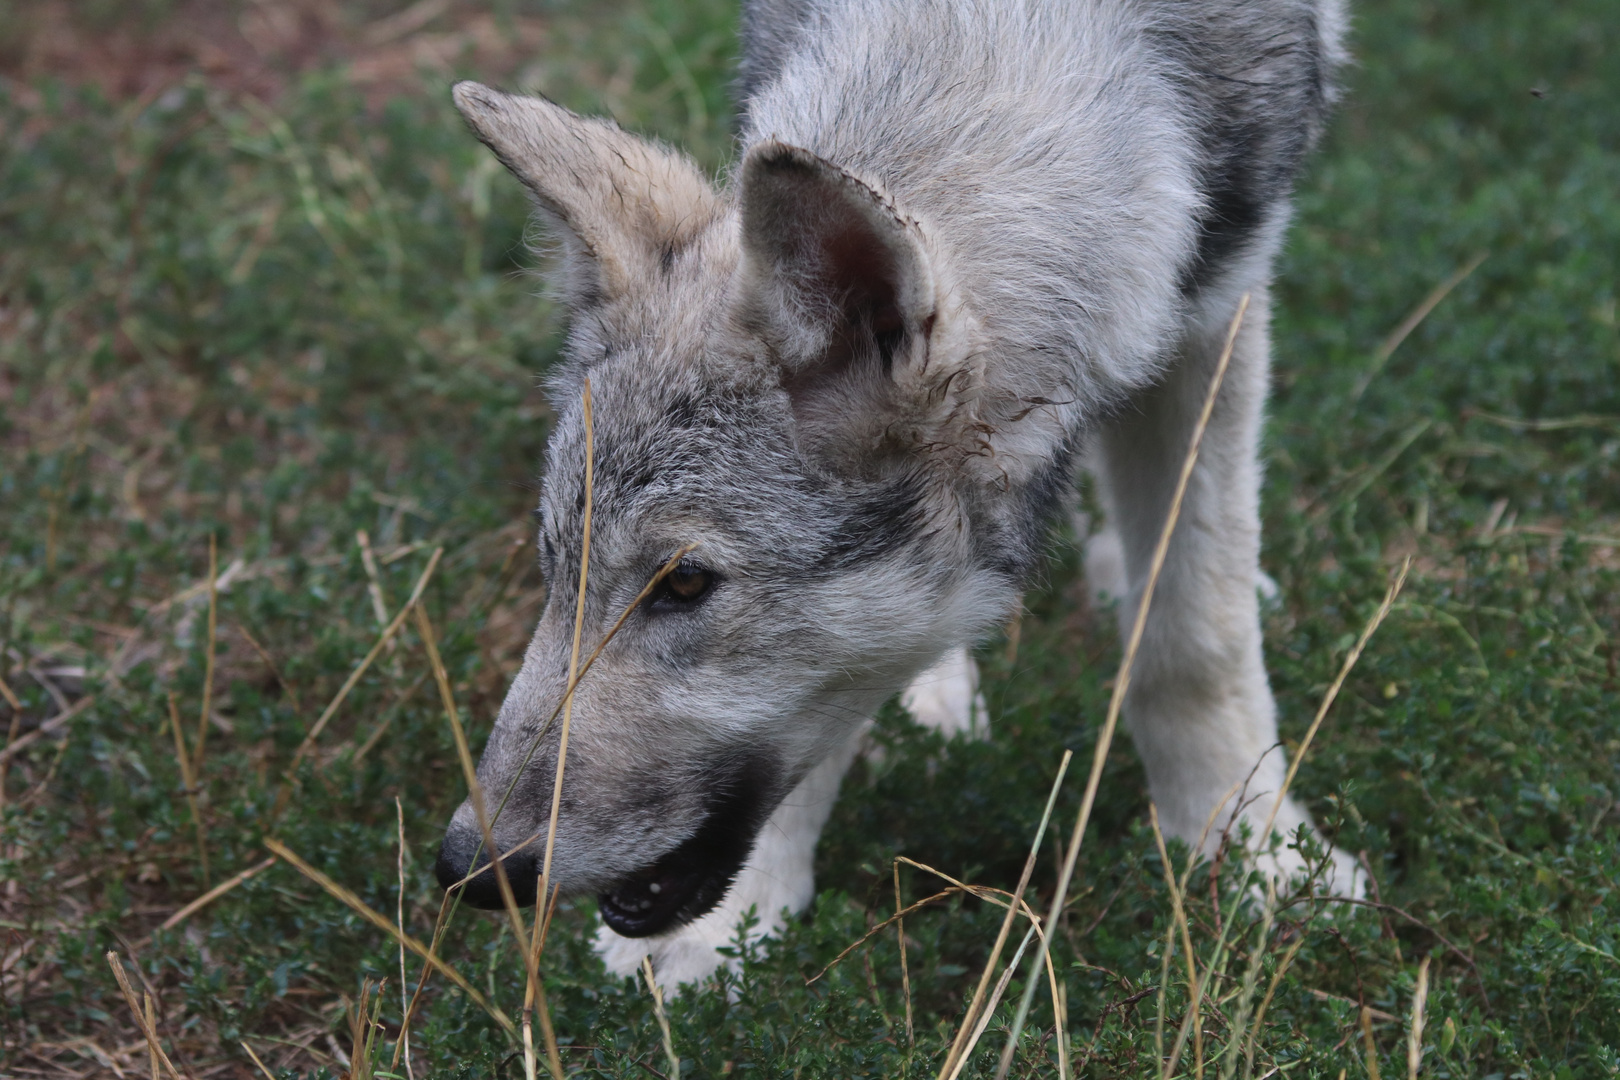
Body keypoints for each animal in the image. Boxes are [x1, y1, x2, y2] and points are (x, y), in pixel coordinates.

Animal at [434, 0, 1354, 990]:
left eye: (682, 584)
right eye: (553, 563)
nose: (466, 869)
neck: (991, 42)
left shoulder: (1221, 305)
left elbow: (1195, 635)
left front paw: (1250, 849)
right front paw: (741, 923)